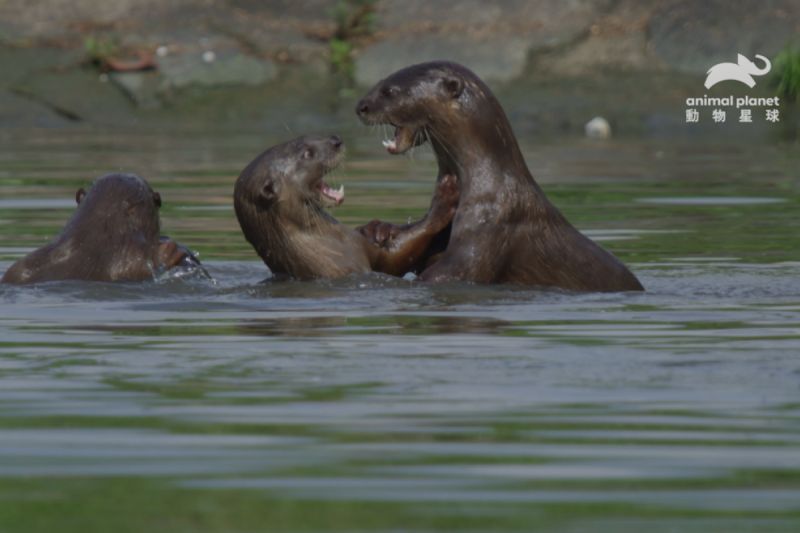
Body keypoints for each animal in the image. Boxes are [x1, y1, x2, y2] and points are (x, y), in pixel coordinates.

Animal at [233, 133, 456, 278]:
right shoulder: (356, 251)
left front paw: (377, 228)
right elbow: (401, 253)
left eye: (304, 139)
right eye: (307, 153)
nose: (336, 140)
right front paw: (446, 193)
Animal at [356, 62, 644, 296]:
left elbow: (452, 273)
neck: (487, 182)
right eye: (379, 82)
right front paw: (378, 229)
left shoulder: (491, 226)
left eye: (390, 91)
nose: (360, 106)